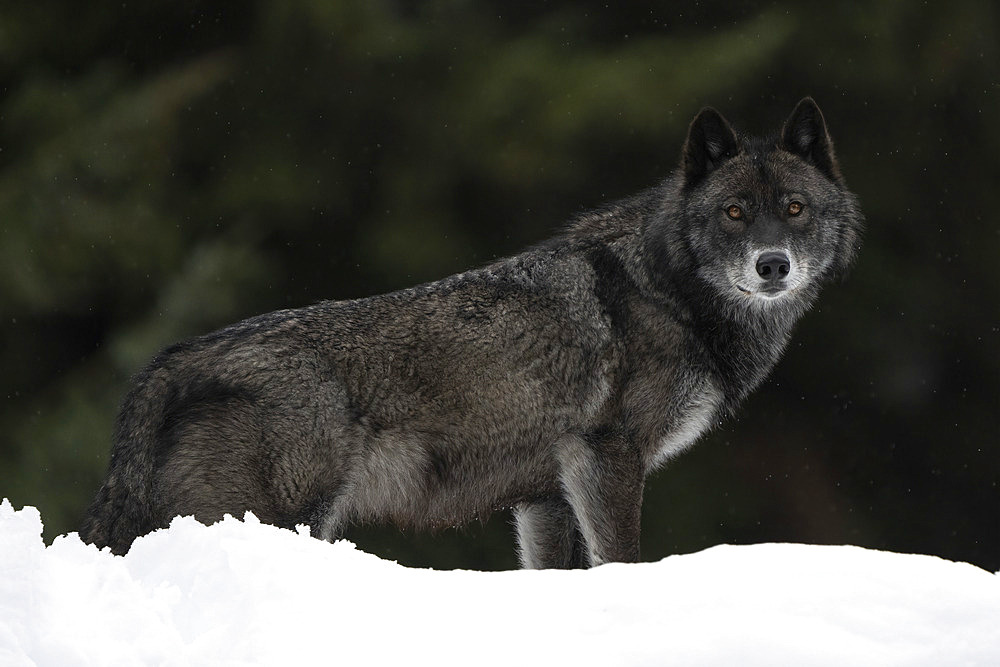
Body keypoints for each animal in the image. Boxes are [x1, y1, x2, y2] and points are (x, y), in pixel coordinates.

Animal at [80, 98, 860, 568]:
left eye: (793, 207)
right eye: (734, 212)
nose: (772, 264)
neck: (669, 290)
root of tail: (176, 357)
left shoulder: (546, 494)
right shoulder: (607, 460)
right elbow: (621, 561)